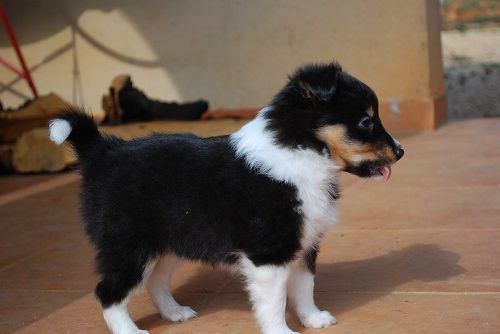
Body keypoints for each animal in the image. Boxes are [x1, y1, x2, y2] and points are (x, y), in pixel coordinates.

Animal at [48, 62, 404, 334]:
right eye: (366, 121)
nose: (401, 152)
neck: (299, 151)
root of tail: (103, 152)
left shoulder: (304, 244)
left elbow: (305, 288)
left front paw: (314, 320)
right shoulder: (269, 254)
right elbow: (274, 302)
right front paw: (282, 331)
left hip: (167, 243)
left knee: (156, 282)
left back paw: (175, 313)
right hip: (130, 245)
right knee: (108, 292)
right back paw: (131, 331)